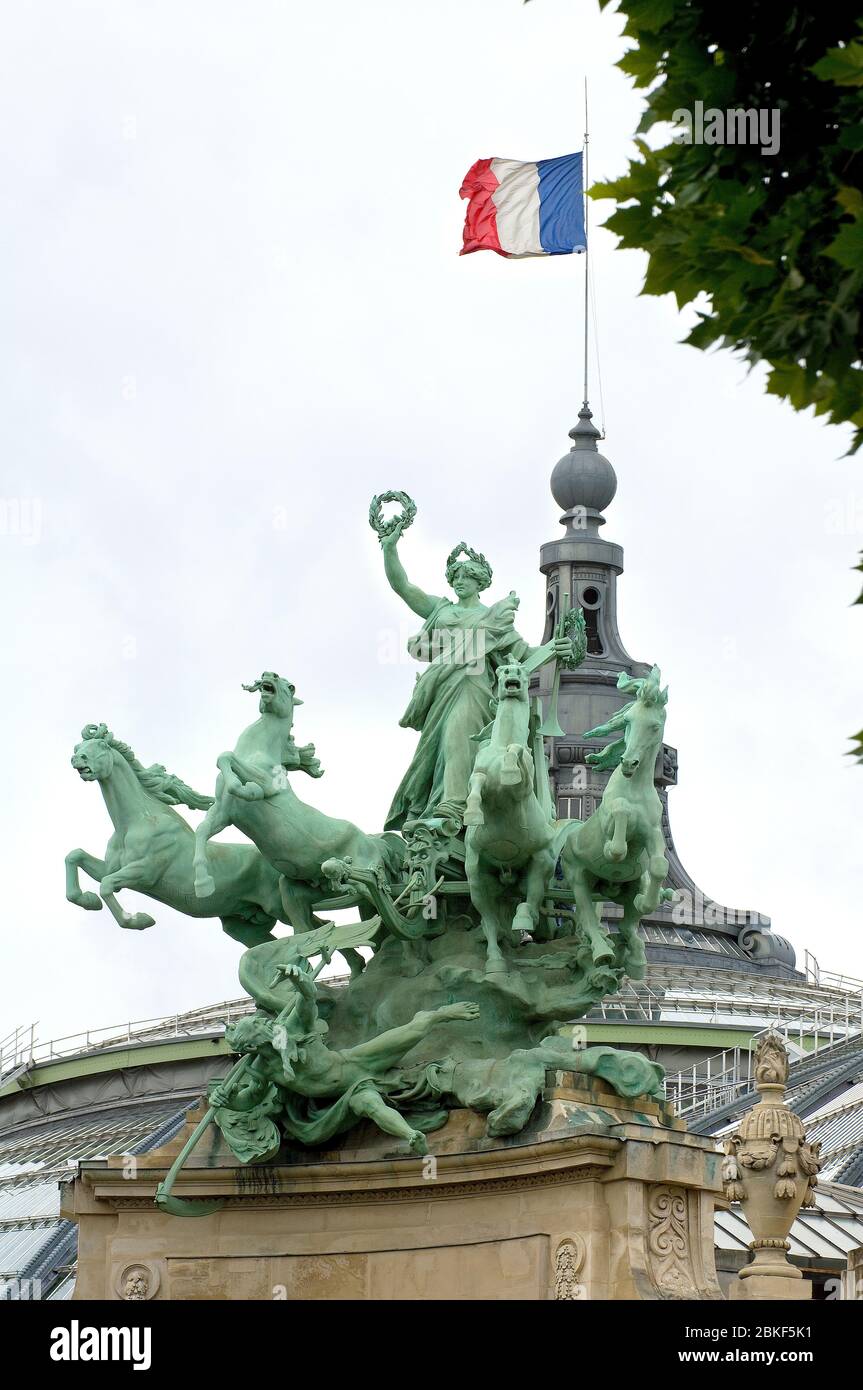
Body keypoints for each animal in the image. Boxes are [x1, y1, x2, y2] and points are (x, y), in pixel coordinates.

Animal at [558, 667, 672, 984]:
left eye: (655, 726)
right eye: (628, 720)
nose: (628, 762)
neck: (633, 789)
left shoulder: (653, 833)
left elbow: (659, 865)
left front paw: (647, 903)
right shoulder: (611, 816)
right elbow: (619, 833)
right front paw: (613, 849)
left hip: (625, 888)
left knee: (626, 927)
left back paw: (634, 958)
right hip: (577, 879)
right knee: (587, 918)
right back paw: (601, 953)